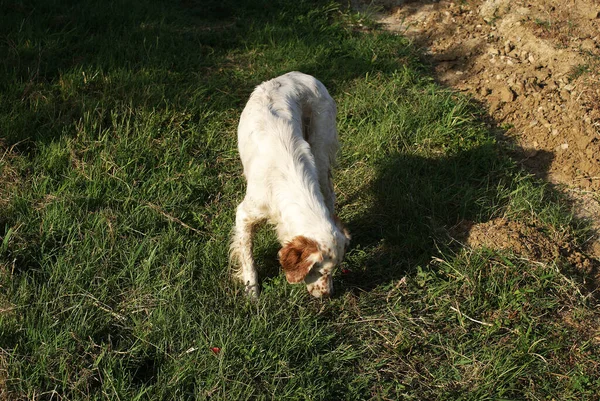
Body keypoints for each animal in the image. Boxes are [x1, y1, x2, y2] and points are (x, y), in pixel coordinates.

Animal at [231, 71, 352, 296]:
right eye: (318, 270)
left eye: (335, 270)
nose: (328, 294)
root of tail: (297, 74)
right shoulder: (244, 214)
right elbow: (247, 255)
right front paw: (252, 291)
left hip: (321, 148)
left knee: (329, 191)